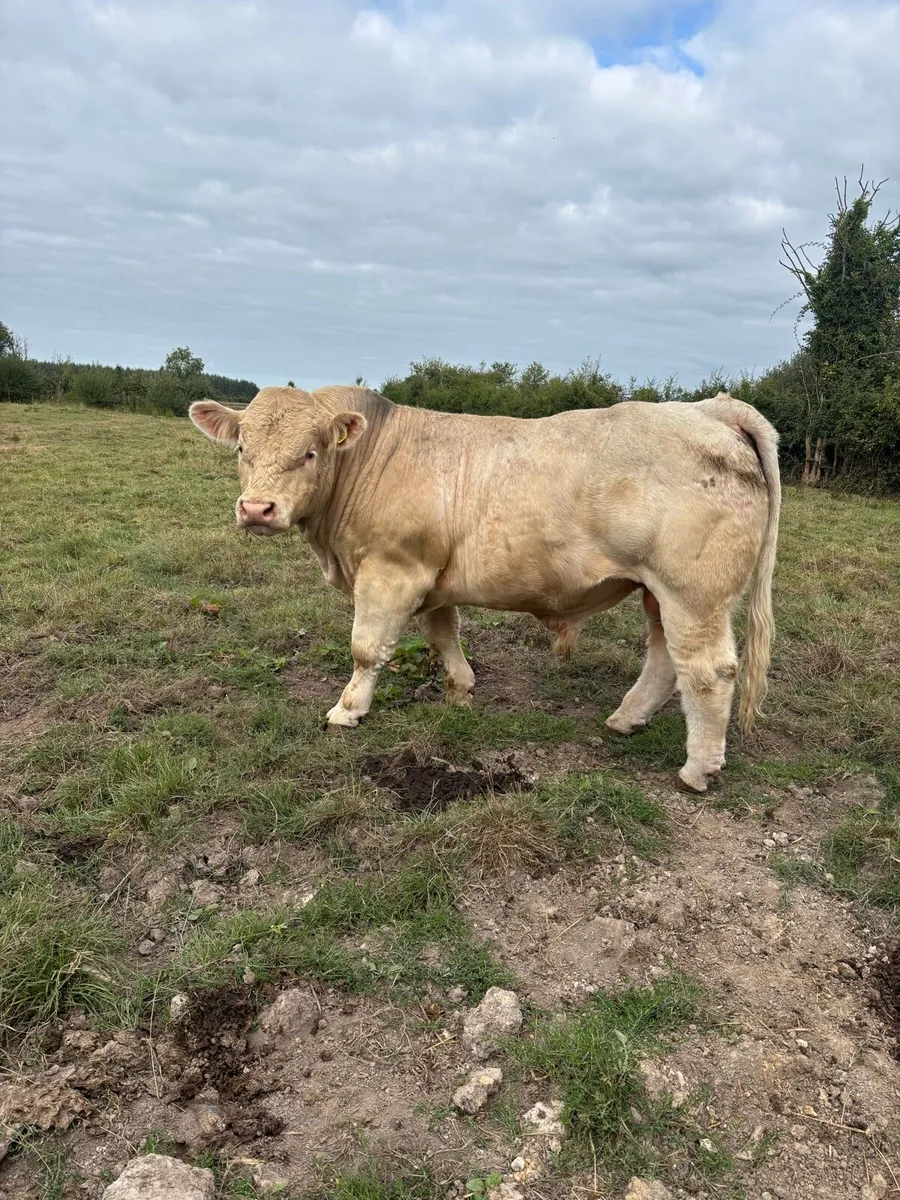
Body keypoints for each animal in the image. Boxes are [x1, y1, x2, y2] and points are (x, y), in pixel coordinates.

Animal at [189, 385, 780, 793]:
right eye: (241, 448)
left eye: (310, 452)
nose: (257, 510)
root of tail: (711, 409)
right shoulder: (433, 577)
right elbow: (442, 634)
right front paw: (460, 690)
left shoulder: (392, 569)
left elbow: (366, 648)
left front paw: (348, 710)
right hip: (656, 591)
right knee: (663, 659)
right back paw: (624, 720)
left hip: (693, 593)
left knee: (708, 671)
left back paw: (697, 769)